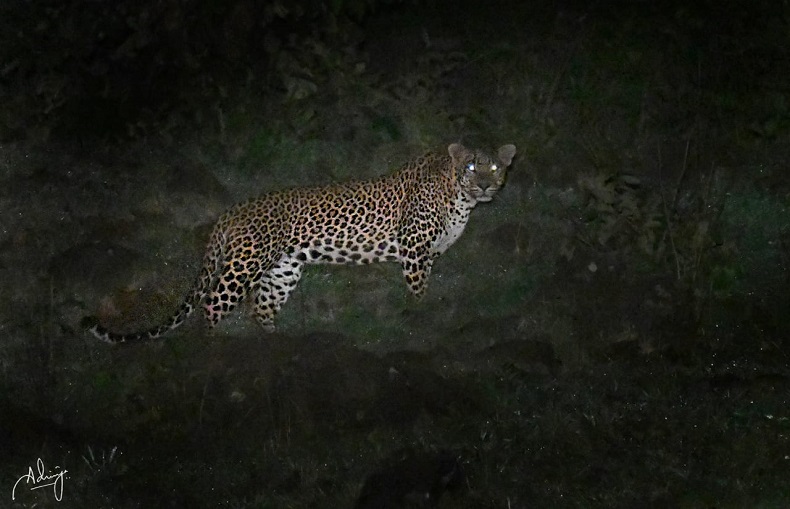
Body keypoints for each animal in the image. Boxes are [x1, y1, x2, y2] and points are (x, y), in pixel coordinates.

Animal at [86, 142, 516, 343]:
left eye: (495, 167)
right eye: (472, 166)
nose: (485, 185)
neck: (459, 198)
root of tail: (232, 210)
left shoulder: (429, 254)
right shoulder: (413, 250)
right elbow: (418, 292)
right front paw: (422, 319)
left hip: (283, 269)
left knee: (260, 308)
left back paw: (275, 347)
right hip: (246, 262)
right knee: (212, 304)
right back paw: (216, 348)